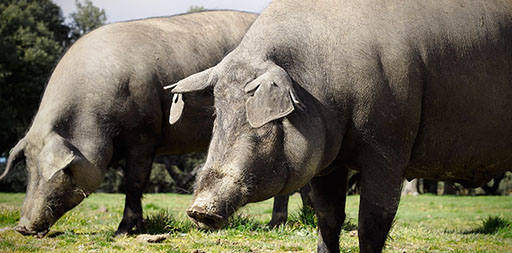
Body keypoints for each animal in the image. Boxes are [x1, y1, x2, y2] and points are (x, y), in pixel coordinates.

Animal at [0, 10, 256, 237]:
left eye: (61, 170)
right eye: (29, 170)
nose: (22, 228)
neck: (93, 121)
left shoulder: (144, 136)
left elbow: (134, 183)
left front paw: (121, 232)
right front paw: (138, 229)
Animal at [170, 0, 512, 252]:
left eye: (264, 125)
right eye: (218, 114)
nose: (199, 209)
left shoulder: (389, 146)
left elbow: (373, 221)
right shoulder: (329, 162)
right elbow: (328, 217)